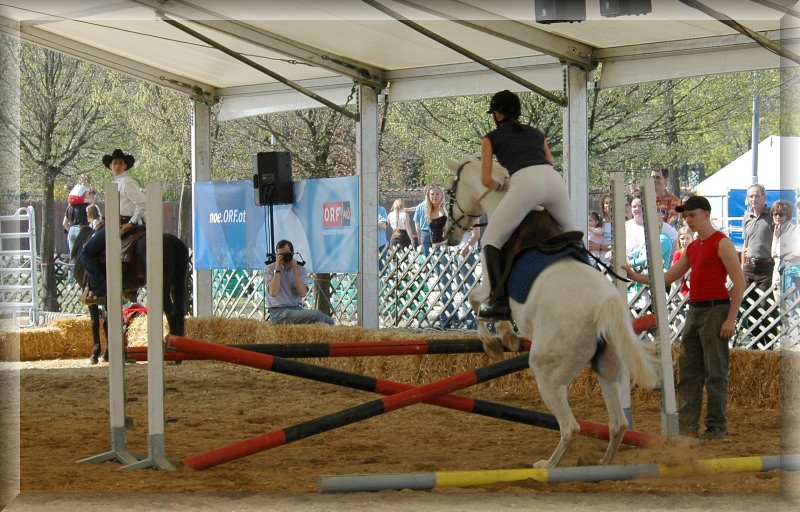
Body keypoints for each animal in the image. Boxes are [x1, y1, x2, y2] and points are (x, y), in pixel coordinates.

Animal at [70, 226, 189, 362]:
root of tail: (172, 240)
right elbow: (107, 323)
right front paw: (106, 355)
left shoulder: (89, 296)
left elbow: (95, 323)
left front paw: (95, 356)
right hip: (177, 284)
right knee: (179, 313)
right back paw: (178, 357)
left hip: (163, 287)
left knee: (171, 314)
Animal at [444, 155, 656, 468]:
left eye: (450, 191)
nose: (448, 234)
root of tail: (603, 307)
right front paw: (503, 336)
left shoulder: (490, 282)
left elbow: (475, 300)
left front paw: (498, 339)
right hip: (608, 368)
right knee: (618, 424)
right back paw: (602, 466)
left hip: (547, 372)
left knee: (571, 427)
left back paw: (546, 466)